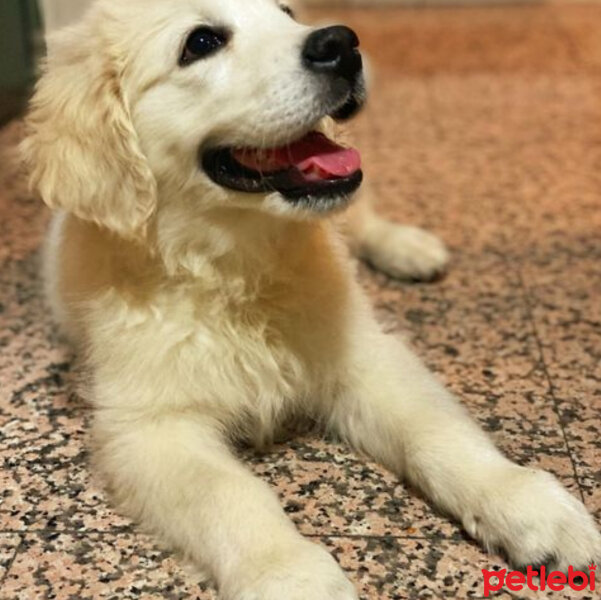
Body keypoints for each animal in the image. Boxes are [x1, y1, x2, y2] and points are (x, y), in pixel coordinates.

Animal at [21, 1, 596, 600]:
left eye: (287, 11)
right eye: (200, 42)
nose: (342, 43)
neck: (233, 270)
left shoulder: (363, 355)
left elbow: (434, 428)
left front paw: (524, 502)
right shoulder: (150, 426)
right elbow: (228, 494)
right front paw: (290, 574)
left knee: (365, 215)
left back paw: (410, 248)